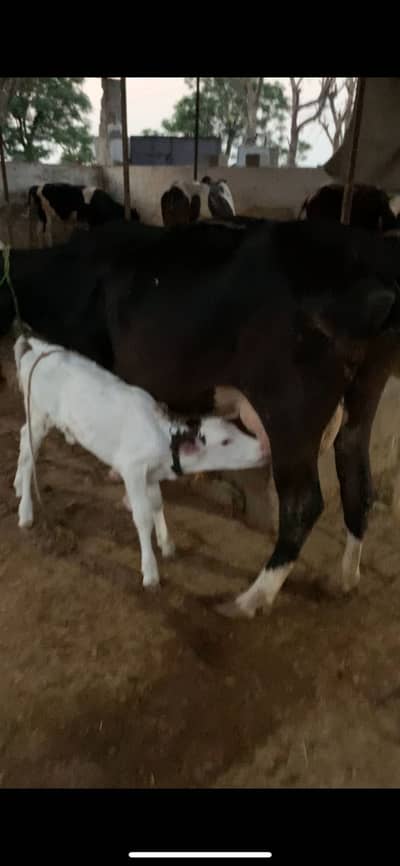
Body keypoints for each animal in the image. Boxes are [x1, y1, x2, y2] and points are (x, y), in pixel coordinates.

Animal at [1, 216, 400, 619]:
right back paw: (345, 578)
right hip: (361, 398)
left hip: (290, 410)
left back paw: (252, 597)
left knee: (303, 503)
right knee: (357, 482)